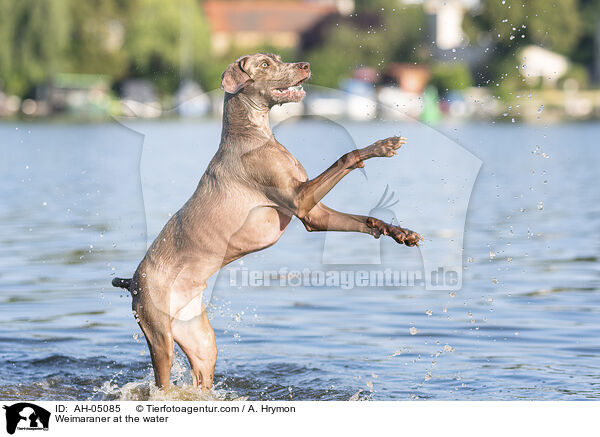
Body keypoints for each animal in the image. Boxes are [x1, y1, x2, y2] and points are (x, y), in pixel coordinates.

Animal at [112, 52, 422, 390]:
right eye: (264, 64)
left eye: (279, 58)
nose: (305, 65)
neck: (253, 134)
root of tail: (131, 281)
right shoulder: (300, 200)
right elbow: (347, 156)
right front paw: (383, 145)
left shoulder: (313, 215)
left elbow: (365, 220)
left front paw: (399, 232)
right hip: (159, 334)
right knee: (162, 378)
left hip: (200, 339)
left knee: (201, 370)